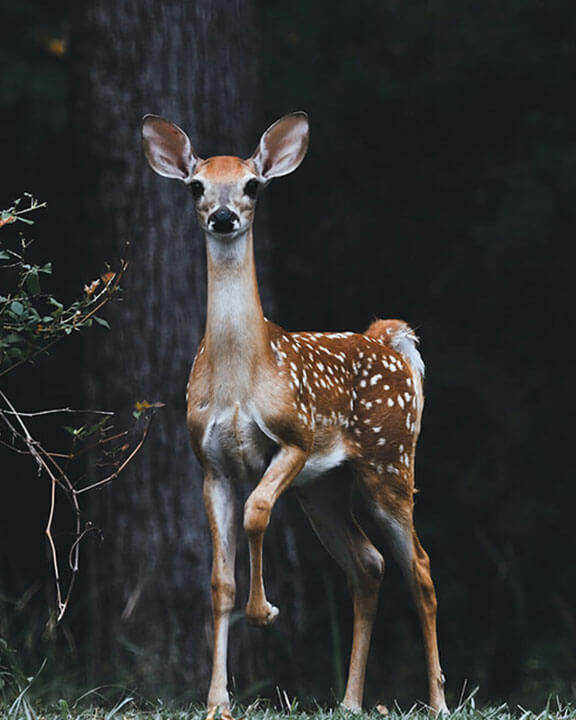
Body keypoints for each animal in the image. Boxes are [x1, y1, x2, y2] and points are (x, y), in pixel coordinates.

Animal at [142, 109, 448, 716]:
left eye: (252, 185)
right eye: (196, 186)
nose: (224, 217)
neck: (241, 377)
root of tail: (389, 339)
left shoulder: (294, 438)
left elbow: (257, 512)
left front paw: (265, 613)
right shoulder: (209, 464)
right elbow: (219, 581)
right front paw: (217, 701)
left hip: (390, 461)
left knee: (420, 568)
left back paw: (439, 701)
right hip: (325, 488)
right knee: (369, 565)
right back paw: (350, 701)